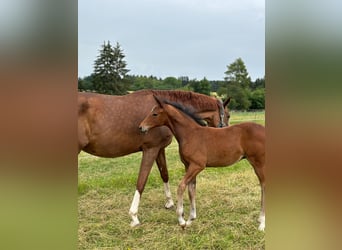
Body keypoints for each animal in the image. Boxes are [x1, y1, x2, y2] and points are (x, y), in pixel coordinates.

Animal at [138, 96, 266, 231]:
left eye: (155, 114)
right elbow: (191, 189)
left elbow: (181, 186)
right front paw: (191, 219)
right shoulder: (188, 166)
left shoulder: (197, 165)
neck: (190, 134)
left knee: (264, 186)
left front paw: (181, 220)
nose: (141, 127)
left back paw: (262, 223)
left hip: (259, 163)